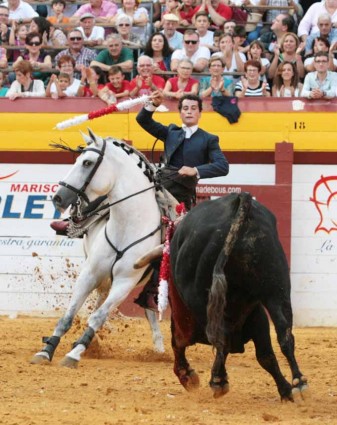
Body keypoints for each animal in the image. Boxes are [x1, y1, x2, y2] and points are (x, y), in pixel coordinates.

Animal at [31, 129, 173, 368]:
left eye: (87, 162)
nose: (58, 197)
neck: (126, 227)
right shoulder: (89, 274)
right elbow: (68, 316)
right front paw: (46, 350)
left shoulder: (125, 282)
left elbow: (98, 317)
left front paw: (74, 353)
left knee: (148, 311)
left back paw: (159, 349)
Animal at [169, 190, 306, 400]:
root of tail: (240, 199)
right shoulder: (258, 314)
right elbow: (265, 355)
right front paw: (285, 390)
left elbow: (179, 340)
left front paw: (188, 374)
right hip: (277, 285)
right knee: (285, 332)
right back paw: (299, 381)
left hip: (202, 299)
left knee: (218, 338)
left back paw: (217, 379)